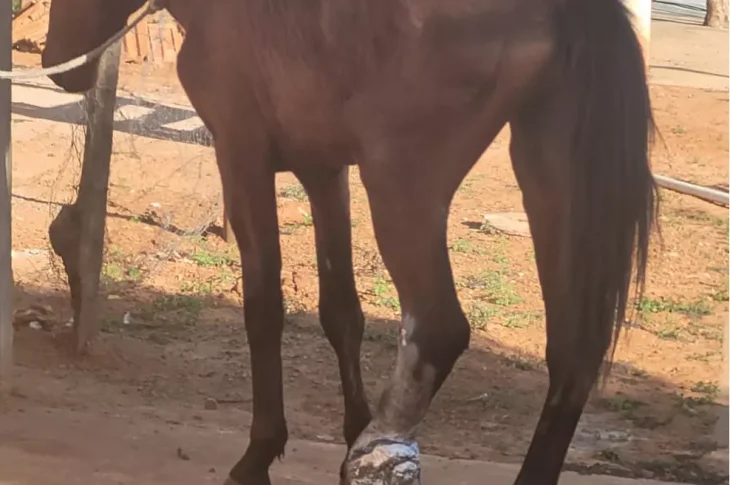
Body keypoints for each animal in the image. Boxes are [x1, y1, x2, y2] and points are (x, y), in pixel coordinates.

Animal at [41, 0, 657, 483]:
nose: (58, 68)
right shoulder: (324, 171)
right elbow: (341, 312)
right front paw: (352, 425)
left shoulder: (241, 155)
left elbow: (264, 306)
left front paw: (261, 454)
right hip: (550, 183)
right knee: (572, 354)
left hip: (401, 186)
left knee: (439, 329)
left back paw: (375, 456)